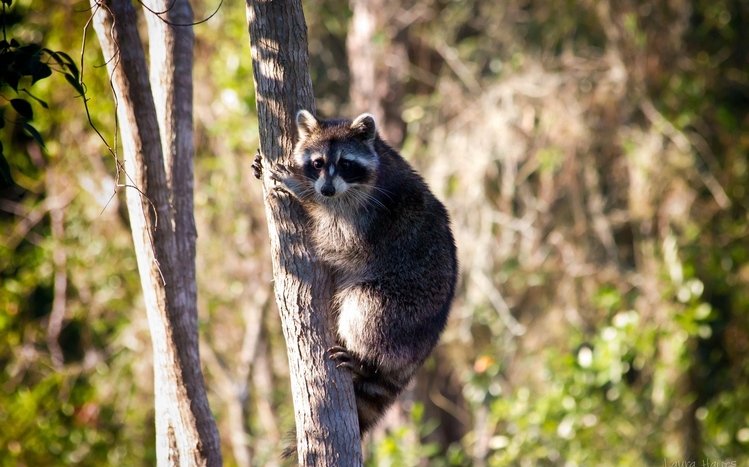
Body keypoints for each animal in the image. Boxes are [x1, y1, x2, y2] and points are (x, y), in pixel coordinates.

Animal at [254, 110, 457, 438]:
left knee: (365, 308)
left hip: (404, 308)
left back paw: (365, 360)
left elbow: (338, 238)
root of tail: (423, 348)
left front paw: (304, 193)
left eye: (346, 164)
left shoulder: (370, 213)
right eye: (317, 163)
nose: (325, 190)